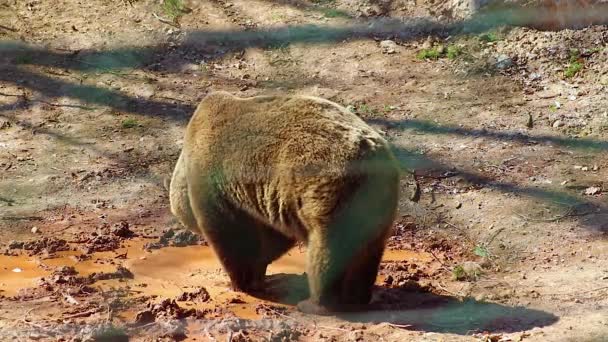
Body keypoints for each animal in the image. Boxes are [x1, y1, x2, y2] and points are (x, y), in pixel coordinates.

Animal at [170, 91, 400, 316]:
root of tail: (373, 155)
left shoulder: (215, 181)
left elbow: (231, 235)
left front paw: (242, 282)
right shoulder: (273, 201)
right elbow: (274, 236)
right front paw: (260, 272)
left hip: (331, 189)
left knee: (327, 250)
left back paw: (316, 303)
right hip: (376, 200)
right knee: (369, 249)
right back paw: (357, 297)